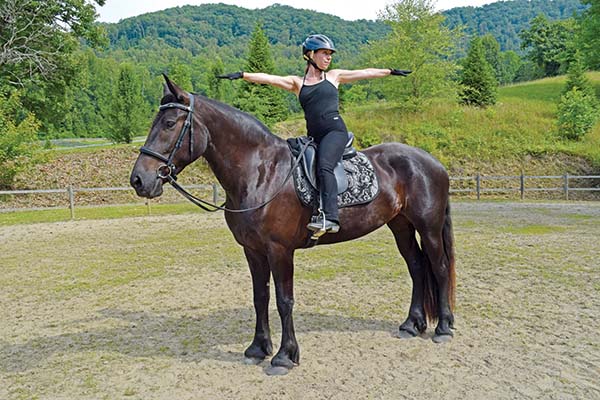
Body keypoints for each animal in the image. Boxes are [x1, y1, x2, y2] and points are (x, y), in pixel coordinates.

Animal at [130, 75, 454, 376]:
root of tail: (432, 162)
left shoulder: (280, 250)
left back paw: (444, 328)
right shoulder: (253, 251)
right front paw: (257, 348)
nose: (139, 180)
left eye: (169, 123)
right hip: (400, 226)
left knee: (438, 268)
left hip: (428, 227)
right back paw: (411, 324)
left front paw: (285, 356)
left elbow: (284, 300)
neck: (261, 172)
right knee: (416, 266)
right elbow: (260, 297)